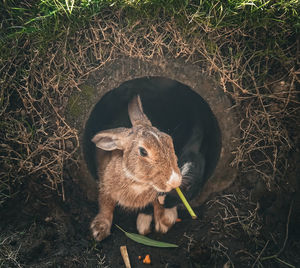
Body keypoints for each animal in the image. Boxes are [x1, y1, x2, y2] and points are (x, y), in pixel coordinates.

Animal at [90, 94, 182, 241]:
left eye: (169, 140)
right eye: (143, 151)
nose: (175, 181)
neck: (138, 183)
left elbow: (158, 203)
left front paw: (164, 222)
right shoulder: (105, 186)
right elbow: (105, 204)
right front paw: (99, 230)